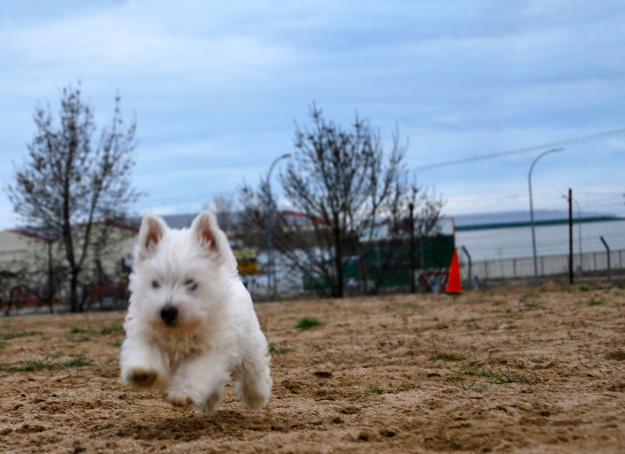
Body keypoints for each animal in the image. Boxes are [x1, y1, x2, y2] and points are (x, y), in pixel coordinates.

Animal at [119, 211, 270, 414]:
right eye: (155, 283)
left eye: (191, 283)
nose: (167, 311)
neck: (179, 329)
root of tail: (232, 276)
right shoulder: (145, 331)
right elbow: (144, 350)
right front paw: (141, 371)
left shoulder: (211, 349)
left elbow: (195, 371)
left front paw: (181, 393)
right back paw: (208, 402)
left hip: (250, 345)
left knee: (255, 370)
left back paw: (256, 397)